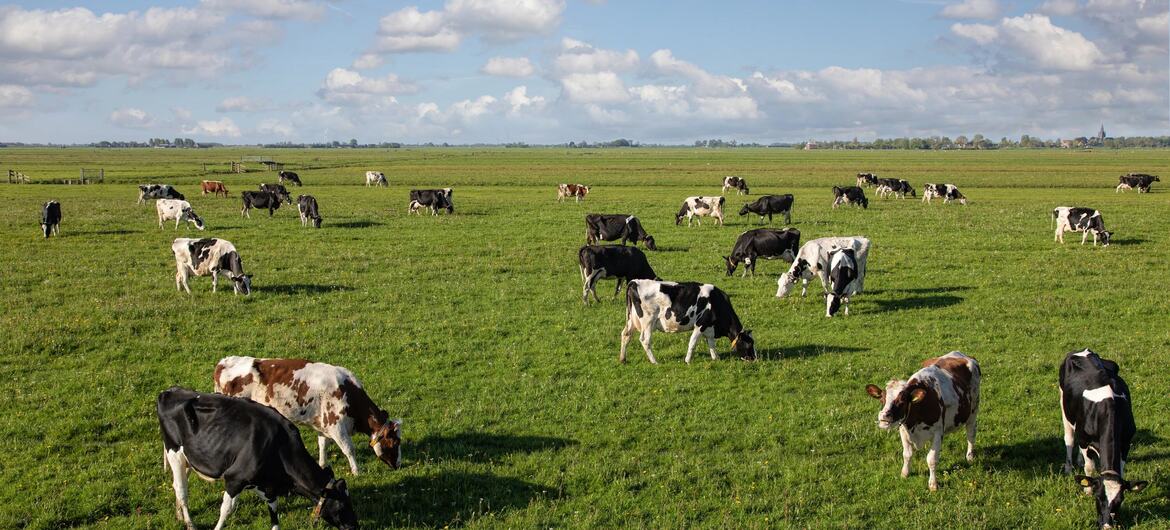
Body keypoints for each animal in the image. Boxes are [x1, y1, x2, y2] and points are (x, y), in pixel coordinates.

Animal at [157, 387, 359, 530]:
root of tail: (169, 391)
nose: (354, 526)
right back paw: (190, 523)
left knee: (177, 485)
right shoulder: (234, 479)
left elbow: (275, 517)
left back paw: (179, 516)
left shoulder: (270, 489)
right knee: (182, 490)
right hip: (174, 452)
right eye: (341, 505)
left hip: (189, 458)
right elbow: (226, 510)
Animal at [214, 357, 403, 476]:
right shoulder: (336, 426)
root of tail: (223, 363)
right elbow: (349, 449)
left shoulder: (323, 425)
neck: (348, 393)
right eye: (395, 442)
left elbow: (322, 445)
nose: (398, 465)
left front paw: (322, 464)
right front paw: (357, 471)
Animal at [620, 279, 756, 364]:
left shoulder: (709, 327)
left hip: (631, 320)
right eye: (749, 344)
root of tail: (635, 282)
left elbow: (711, 343)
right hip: (648, 321)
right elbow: (693, 343)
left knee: (625, 335)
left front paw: (716, 358)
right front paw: (687, 361)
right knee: (645, 340)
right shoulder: (700, 324)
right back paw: (655, 362)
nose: (755, 359)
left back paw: (623, 359)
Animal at [865, 352, 981, 491]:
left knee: (971, 434)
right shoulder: (903, 430)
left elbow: (931, 459)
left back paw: (970, 456)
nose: (883, 416)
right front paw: (905, 473)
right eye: (882, 399)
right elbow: (907, 454)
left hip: (973, 410)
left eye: (902, 400)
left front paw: (933, 484)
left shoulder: (937, 432)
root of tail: (960, 354)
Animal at [1060, 349, 1148, 529]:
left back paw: (1078, 460)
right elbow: (1089, 467)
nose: (1107, 525)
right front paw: (1086, 490)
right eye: (1098, 497)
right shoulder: (1084, 439)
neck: (1108, 410)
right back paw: (1069, 467)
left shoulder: (1125, 443)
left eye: (1119, 500)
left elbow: (1120, 468)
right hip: (1064, 407)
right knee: (1070, 440)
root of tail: (1083, 350)